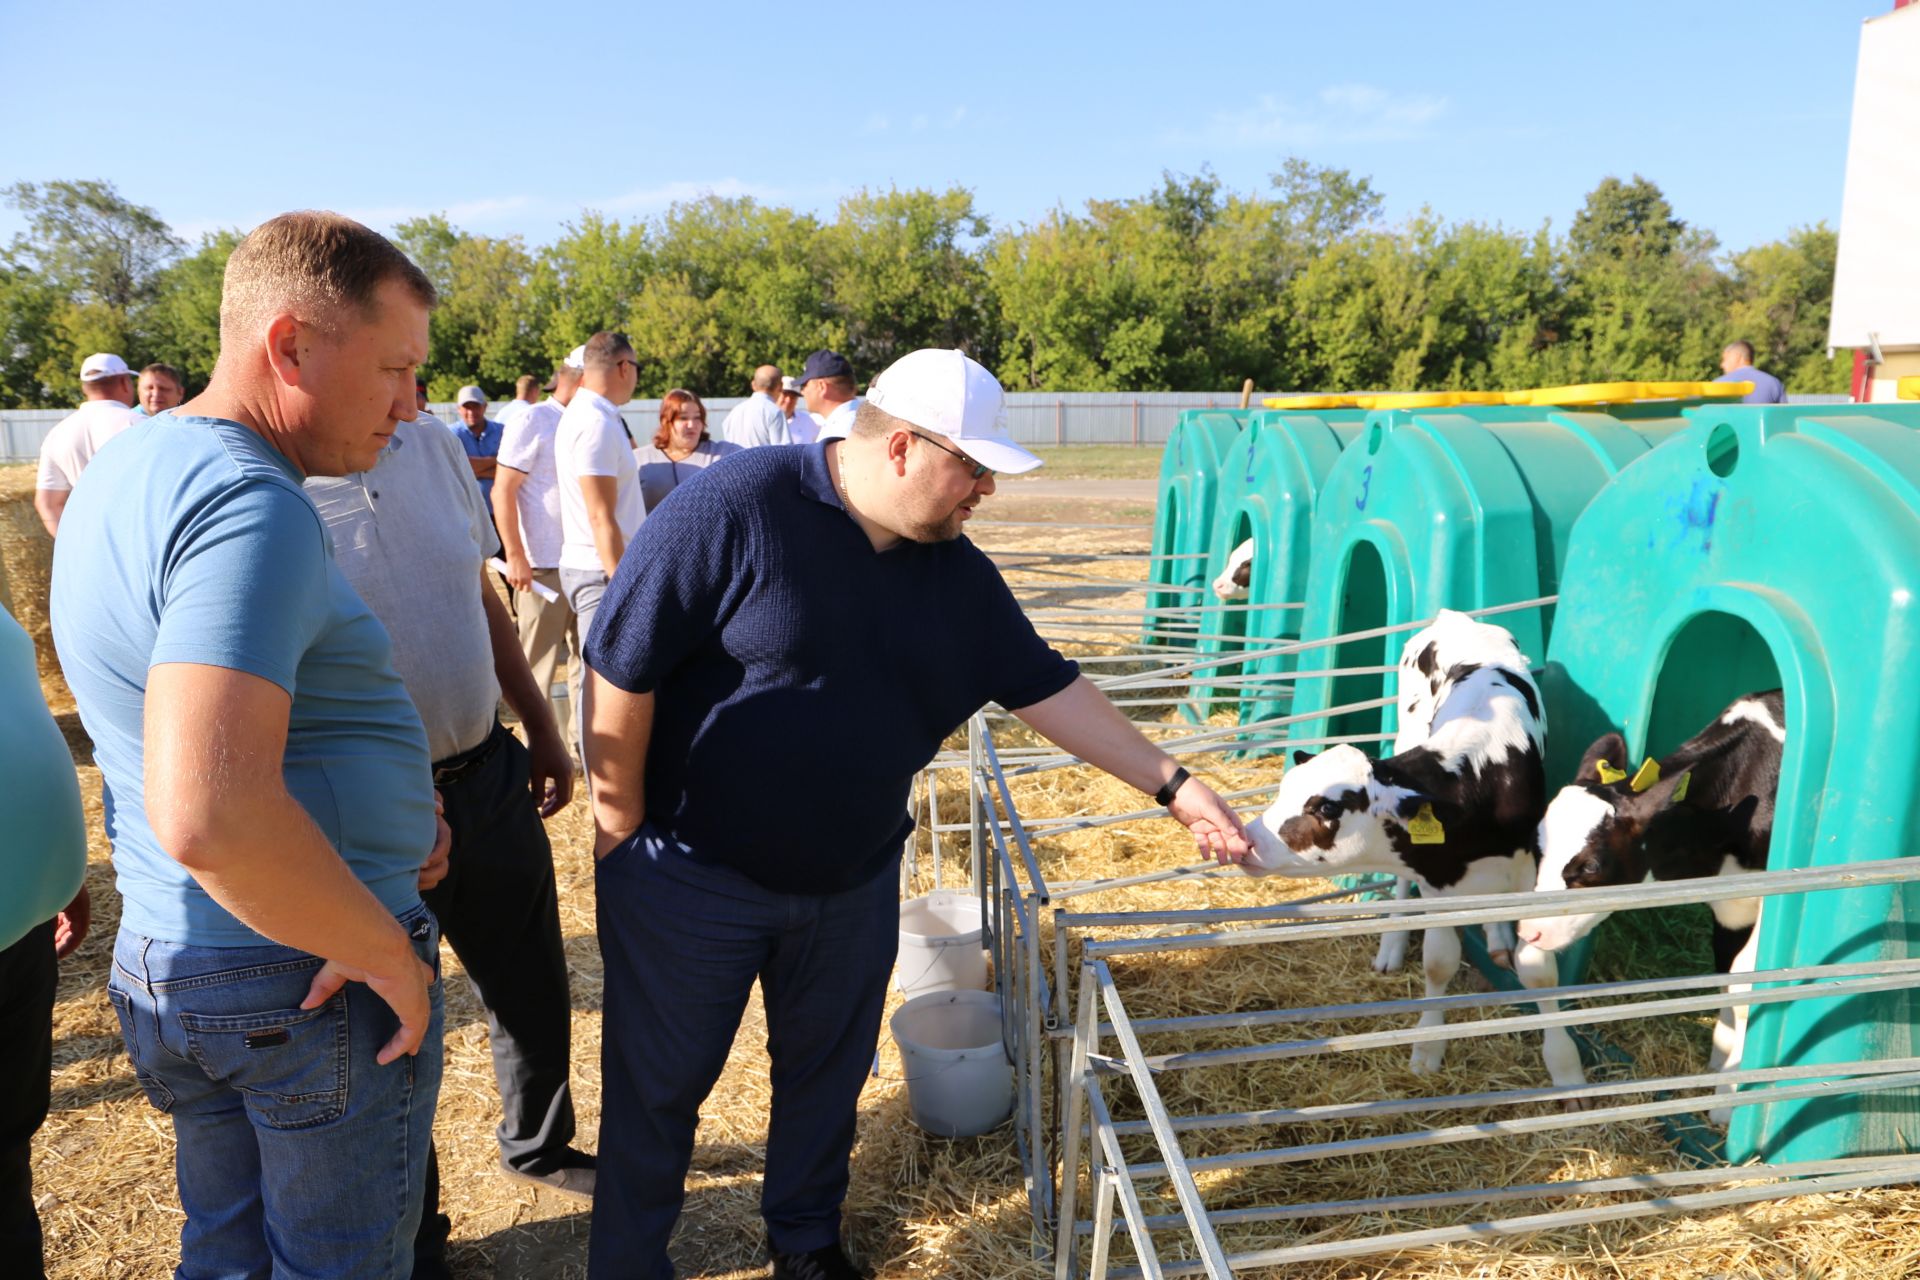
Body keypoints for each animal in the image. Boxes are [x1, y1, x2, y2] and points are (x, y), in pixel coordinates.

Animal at [1251, 610, 1582, 1090]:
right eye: (1284, 788)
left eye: (1327, 806)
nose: (1250, 838)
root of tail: (1453, 618)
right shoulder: (1435, 884)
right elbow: (1439, 963)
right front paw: (1428, 1046)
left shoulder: (1529, 872)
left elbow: (1538, 970)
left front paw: (1565, 1067)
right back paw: (1392, 943)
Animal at [1520, 690, 1789, 1120]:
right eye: (1537, 848)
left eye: (1591, 865)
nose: (1531, 930)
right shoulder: (1730, 906)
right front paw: (1566, 1073)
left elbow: (1747, 980)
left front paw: (1728, 1096)